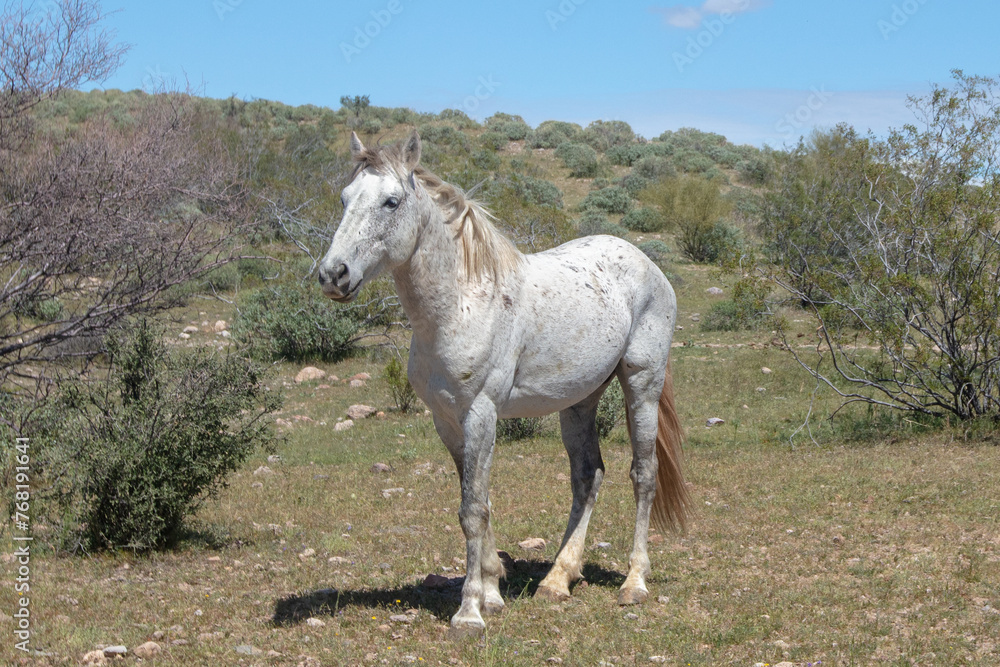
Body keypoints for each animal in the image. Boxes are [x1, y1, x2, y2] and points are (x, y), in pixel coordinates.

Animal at [318, 130, 690, 635]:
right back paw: (557, 579)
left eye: (391, 202)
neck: (461, 303)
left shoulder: (480, 413)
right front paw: (493, 590)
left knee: (643, 475)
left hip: (641, 384)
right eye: (344, 198)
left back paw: (634, 583)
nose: (332, 274)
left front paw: (470, 612)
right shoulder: (448, 420)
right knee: (587, 476)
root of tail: (647, 264)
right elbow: (479, 500)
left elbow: (472, 510)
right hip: (580, 400)